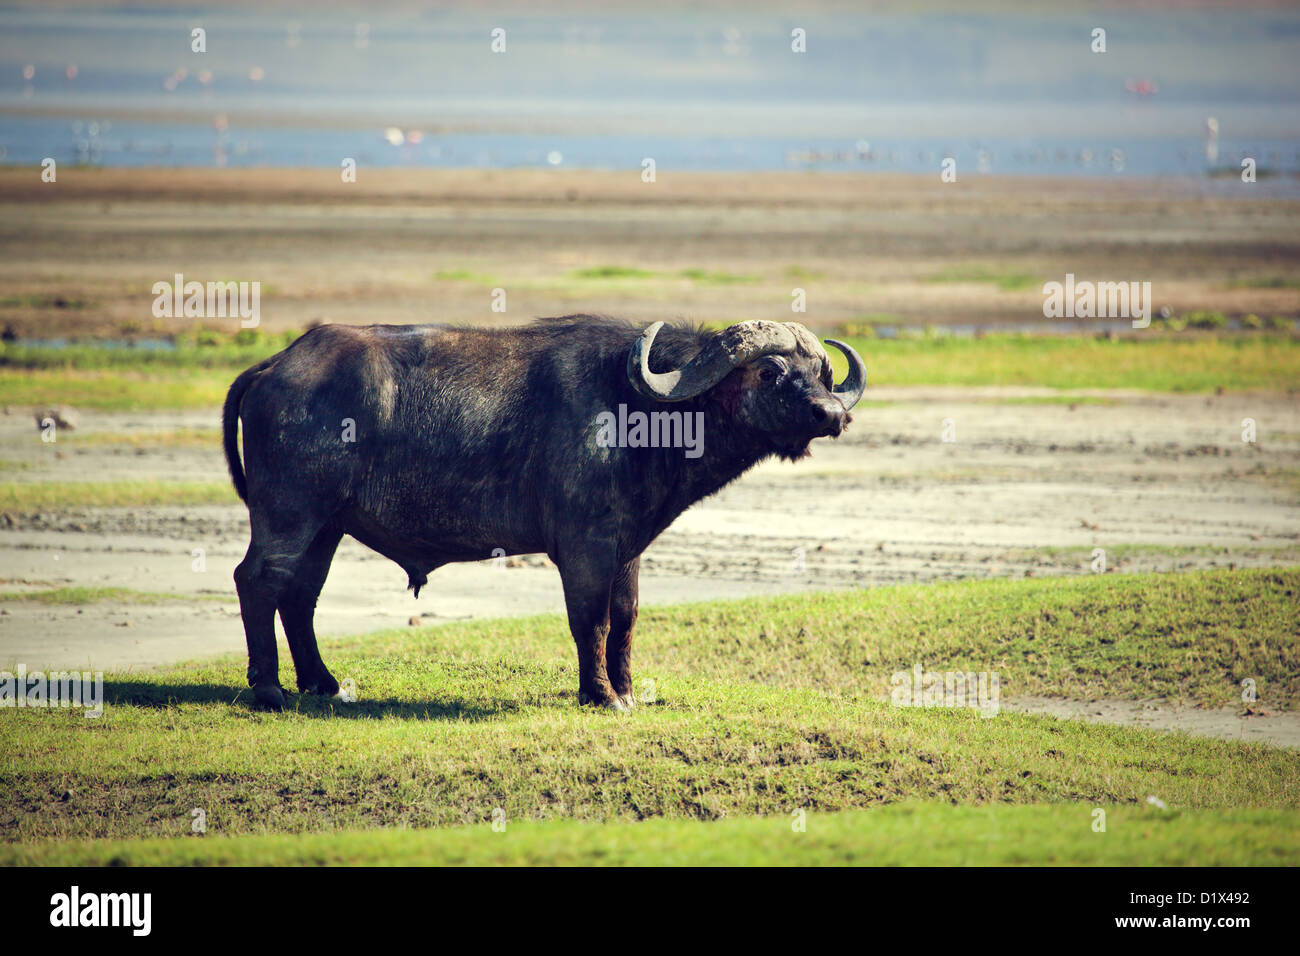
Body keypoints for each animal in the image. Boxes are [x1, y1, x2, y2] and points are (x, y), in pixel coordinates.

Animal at [223, 316, 866, 710]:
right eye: (771, 371)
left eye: (822, 373)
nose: (834, 413)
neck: (637, 410)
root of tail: (275, 365)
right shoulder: (583, 548)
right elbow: (592, 621)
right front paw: (600, 695)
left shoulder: (626, 549)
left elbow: (626, 620)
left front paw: (626, 692)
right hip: (289, 515)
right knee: (258, 580)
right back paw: (269, 690)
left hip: (327, 526)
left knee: (300, 595)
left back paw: (320, 682)